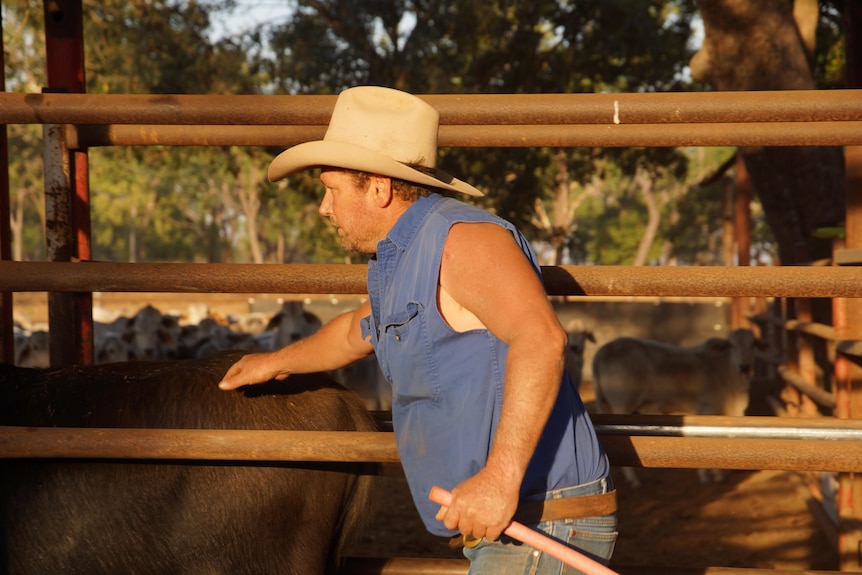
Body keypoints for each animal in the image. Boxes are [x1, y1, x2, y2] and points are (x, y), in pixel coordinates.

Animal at [592, 328, 764, 486]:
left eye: (754, 344)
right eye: (731, 345)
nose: (745, 366)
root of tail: (603, 351)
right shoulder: (705, 407)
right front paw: (712, 475)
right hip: (621, 405)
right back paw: (633, 479)